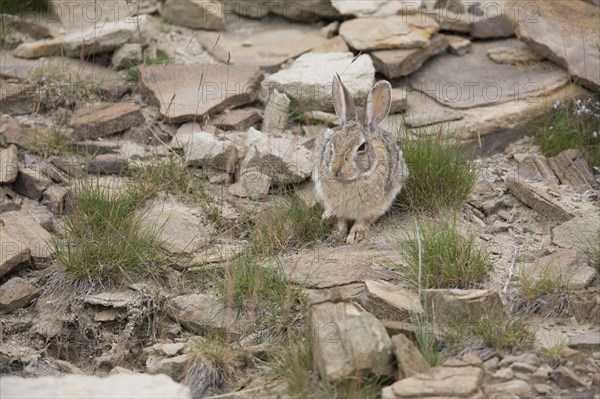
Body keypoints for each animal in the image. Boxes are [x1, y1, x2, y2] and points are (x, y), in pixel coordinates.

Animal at [312, 73, 410, 245]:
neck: (351, 180)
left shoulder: (376, 206)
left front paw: (356, 236)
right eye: (332, 144)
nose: (336, 169)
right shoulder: (336, 205)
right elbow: (341, 219)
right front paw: (339, 233)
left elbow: (363, 220)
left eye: (362, 147)